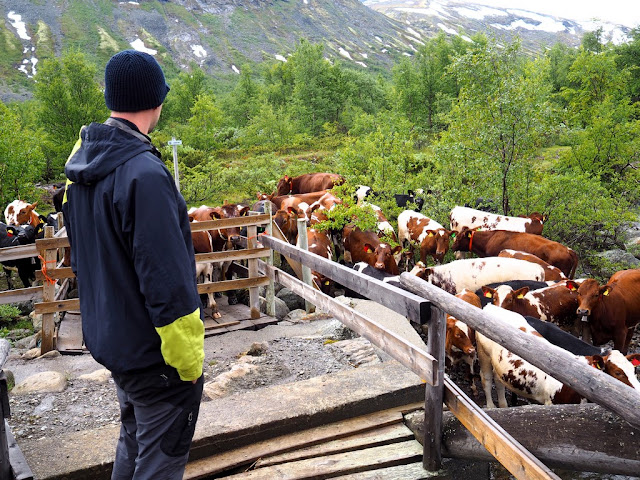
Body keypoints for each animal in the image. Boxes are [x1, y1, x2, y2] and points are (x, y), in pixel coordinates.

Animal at [478, 306, 636, 406]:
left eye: (634, 371)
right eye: (617, 372)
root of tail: (492, 307)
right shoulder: (550, 402)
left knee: (499, 381)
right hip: (483, 353)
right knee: (486, 379)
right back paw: (492, 406)